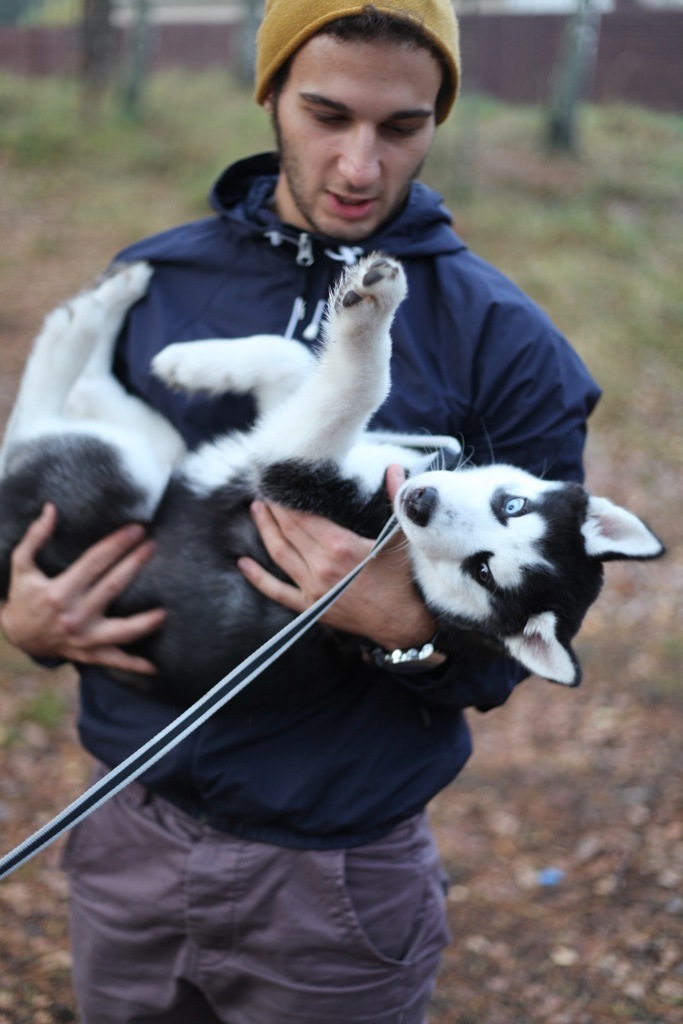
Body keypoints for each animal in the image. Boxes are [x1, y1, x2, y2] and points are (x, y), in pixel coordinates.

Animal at [0, 255, 664, 708]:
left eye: (482, 571)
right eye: (513, 504)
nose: (419, 501)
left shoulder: (289, 470)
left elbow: (362, 383)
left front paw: (369, 311)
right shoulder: (300, 434)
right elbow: (298, 362)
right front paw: (195, 363)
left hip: (124, 475)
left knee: (32, 423)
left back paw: (84, 317)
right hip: (155, 455)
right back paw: (114, 305)